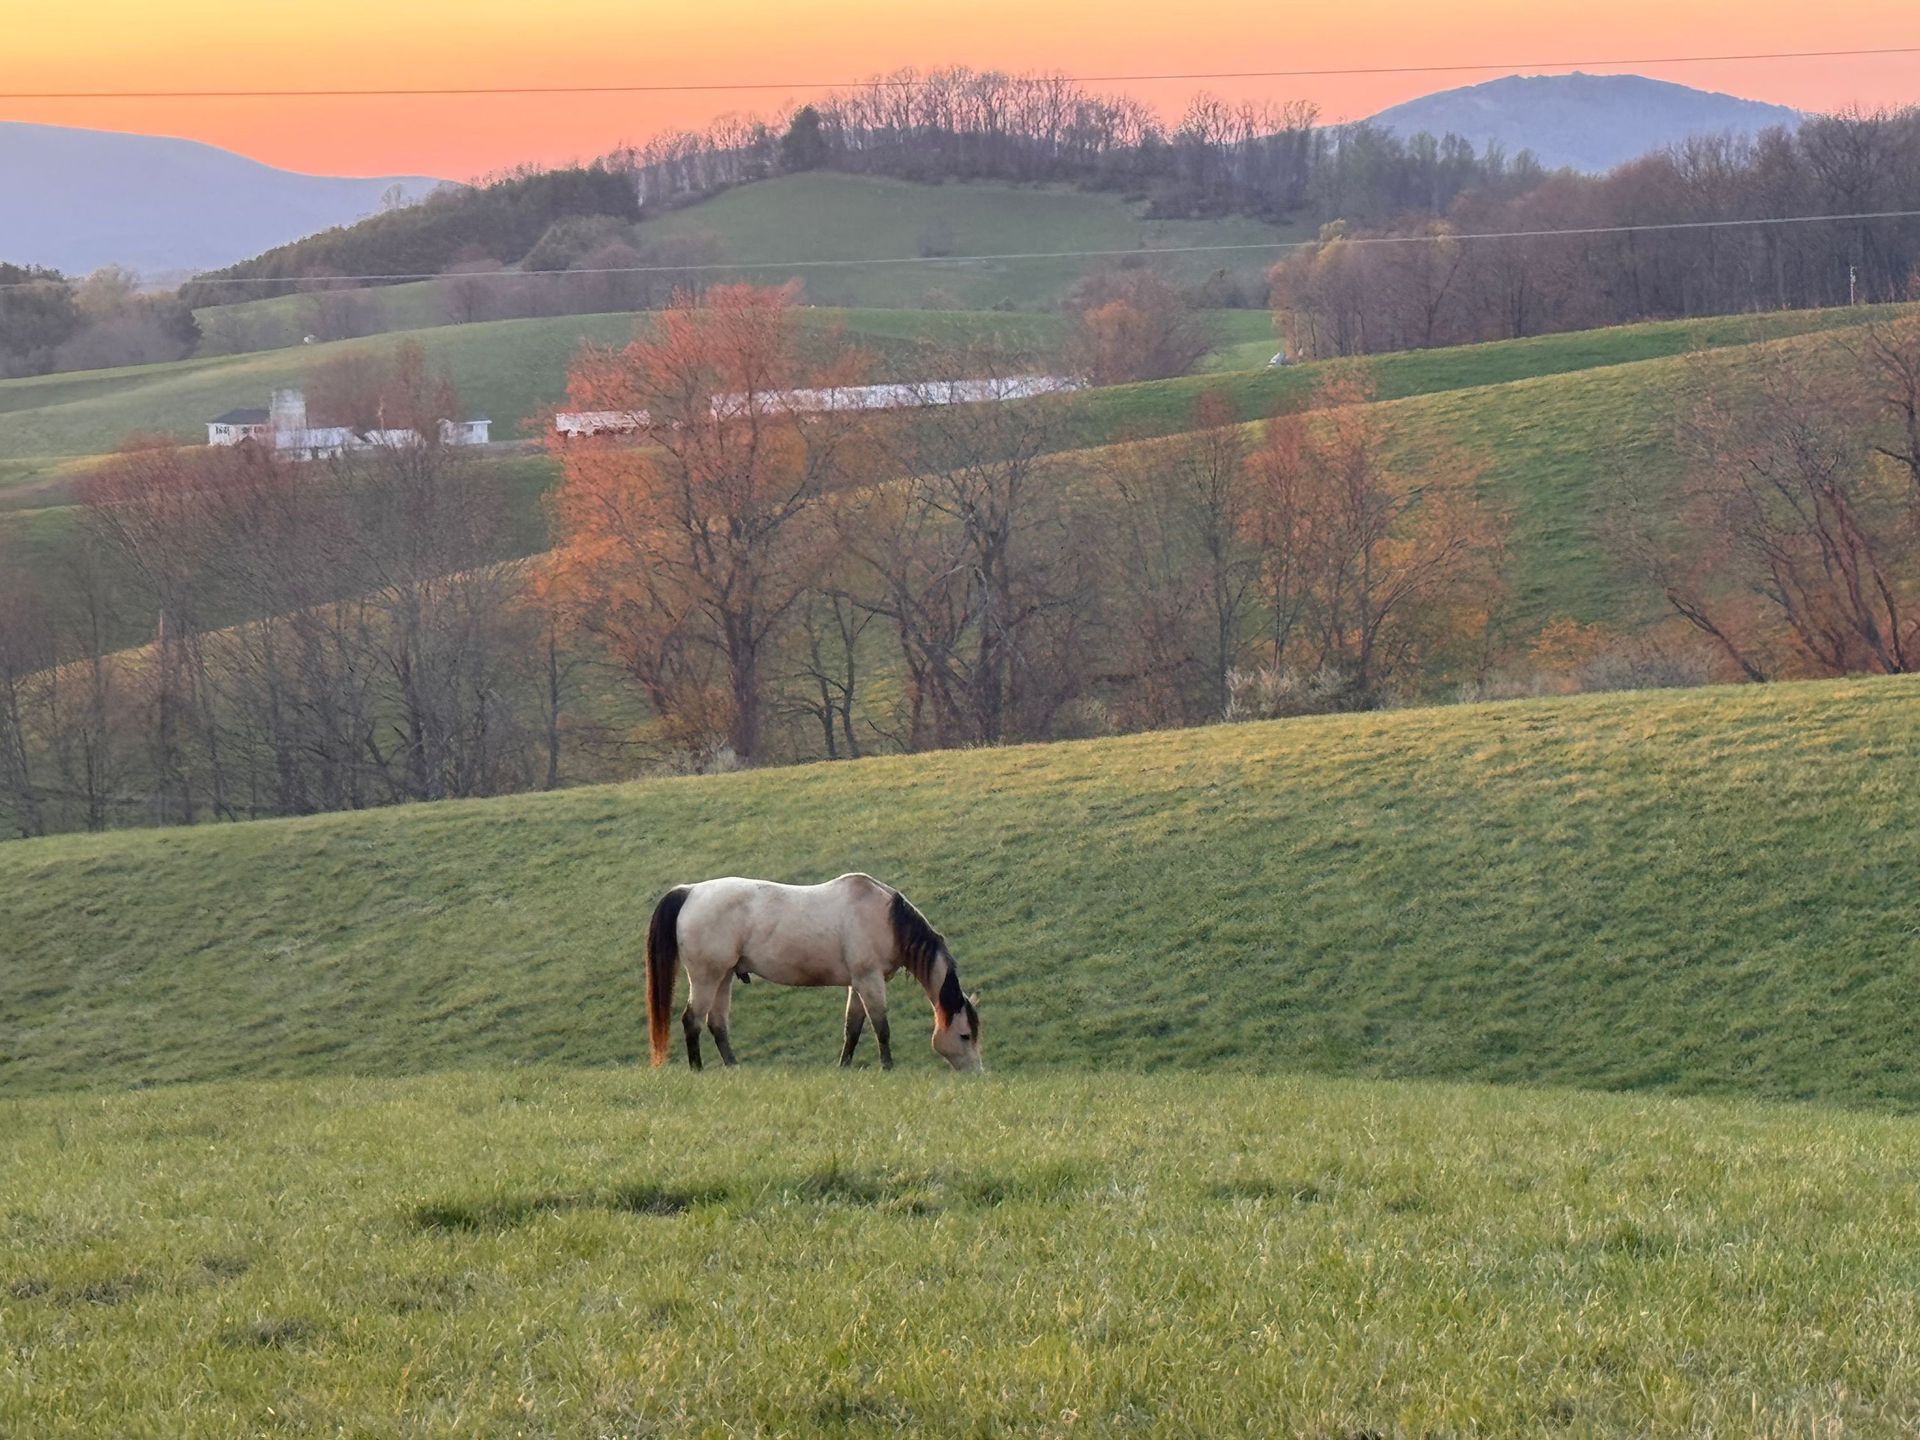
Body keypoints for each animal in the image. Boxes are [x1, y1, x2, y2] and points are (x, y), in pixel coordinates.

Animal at [644, 873, 983, 1073]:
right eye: (964, 1035)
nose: (977, 1074)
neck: (886, 918)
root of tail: (690, 892)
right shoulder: (869, 980)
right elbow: (881, 1027)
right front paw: (888, 1068)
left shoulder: (857, 984)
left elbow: (853, 1028)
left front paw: (844, 1068)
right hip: (706, 977)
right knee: (692, 1020)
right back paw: (697, 1069)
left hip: (723, 976)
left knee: (717, 1023)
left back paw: (734, 1067)